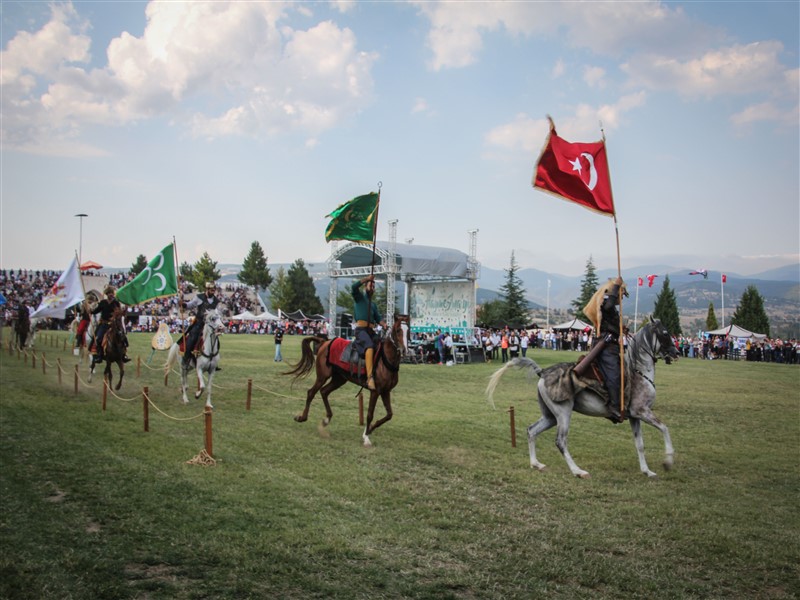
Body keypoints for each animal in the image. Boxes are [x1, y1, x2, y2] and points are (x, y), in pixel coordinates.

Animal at [284, 314, 410, 446]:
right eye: (398, 330)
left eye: (408, 331)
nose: (404, 350)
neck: (385, 359)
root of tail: (325, 342)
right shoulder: (375, 391)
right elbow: (370, 414)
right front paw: (366, 437)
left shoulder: (386, 391)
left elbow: (389, 414)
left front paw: (370, 429)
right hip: (322, 376)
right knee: (311, 392)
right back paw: (302, 417)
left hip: (339, 379)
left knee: (324, 391)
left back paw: (326, 419)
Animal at [484, 318, 680, 478]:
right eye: (665, 333)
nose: (676, 352)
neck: (638, 372)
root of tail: (543, 372)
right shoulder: (642, 412)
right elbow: (665, 428)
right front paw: (668, 462)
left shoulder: (634, 417)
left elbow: (639, 444)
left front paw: (647, 471)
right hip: (563, 414)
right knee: (560, 441)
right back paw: (578, 471)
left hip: (550, 416)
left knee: (532, 431)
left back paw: (536, 464)